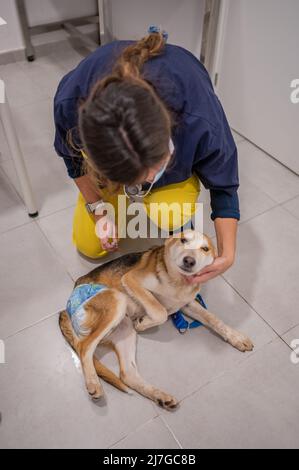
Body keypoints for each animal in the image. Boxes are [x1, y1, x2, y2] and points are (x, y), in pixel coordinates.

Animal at [59, 230, 254, 408]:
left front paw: (237, 337)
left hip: (125, 330)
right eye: (183, 240)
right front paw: (145, 322)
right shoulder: (131, 279)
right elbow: (160, 311)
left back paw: (160, 396)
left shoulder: (186, 304)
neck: (177, 283)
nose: (189, 261)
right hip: (117, 300)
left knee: (127, 374)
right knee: (85, 347)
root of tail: (65, 307)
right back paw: (94, 384)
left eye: (205, 249)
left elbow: (213, 318)